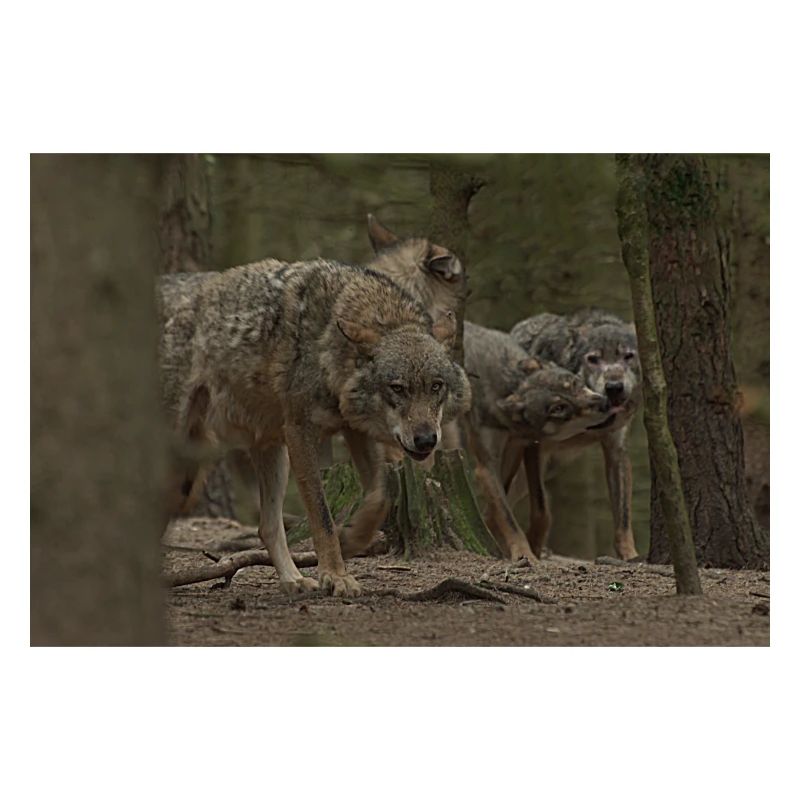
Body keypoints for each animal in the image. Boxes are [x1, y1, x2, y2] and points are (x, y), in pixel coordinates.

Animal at [160, 258, 470, 596]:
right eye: (398, 388)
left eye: (436, 386)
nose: (426, 440)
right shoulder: (300, 433)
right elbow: (323, 517)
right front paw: (335, 576)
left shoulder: (355, 431)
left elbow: (380, 497)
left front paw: (353, 539)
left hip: (261, 457)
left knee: (267, 527)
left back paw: (293, 580)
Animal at [461, 321, 610, 563]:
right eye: (558, 409)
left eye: (574, 383)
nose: (605, 403)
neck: (509, 386)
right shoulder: (485, 466)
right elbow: (507, 516)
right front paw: (524, 553)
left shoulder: (527, 446)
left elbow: (540, 508)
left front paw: (535, 546)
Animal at [504, 309, 642, 559]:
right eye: (593, 359)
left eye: (628, 356)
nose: (614, 387)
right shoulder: (536, 448)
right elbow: (542, 510)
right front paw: (534, 548)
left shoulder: (616, 450)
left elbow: (624, 517)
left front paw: (629, 556)